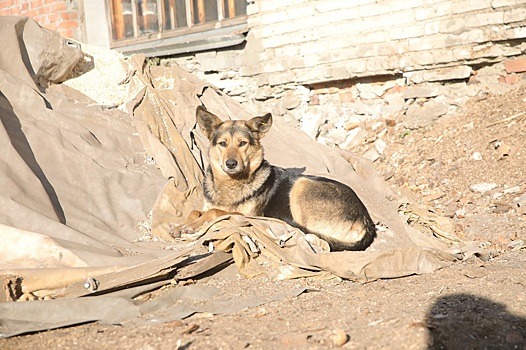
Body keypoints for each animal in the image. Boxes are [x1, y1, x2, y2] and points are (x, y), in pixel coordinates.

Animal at [174, 106, 380, 252]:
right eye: (223, 144)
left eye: (242, 143)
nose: (231, 163)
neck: (232, 182)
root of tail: (366, 221)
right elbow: (195, 211)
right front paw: (182, 225)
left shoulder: (249, 216)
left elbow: (214, 212)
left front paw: (191, 227)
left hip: (302, 186)